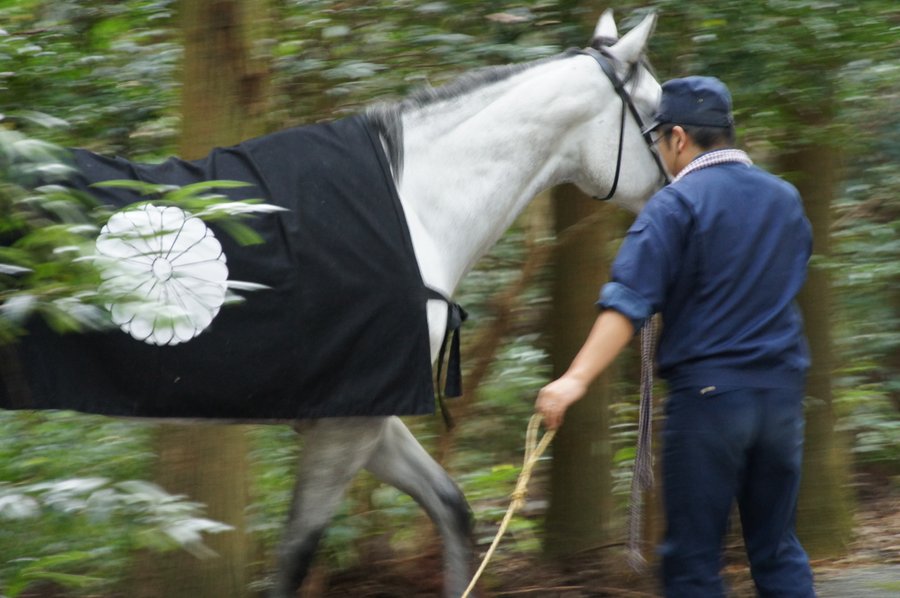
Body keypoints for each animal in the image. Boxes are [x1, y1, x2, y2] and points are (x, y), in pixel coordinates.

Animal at [270, 10, 665, 597]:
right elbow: (294, 559)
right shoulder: (345, 422)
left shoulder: (365, 412)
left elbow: (452, 509)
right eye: (662, 114)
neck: (410, 217)